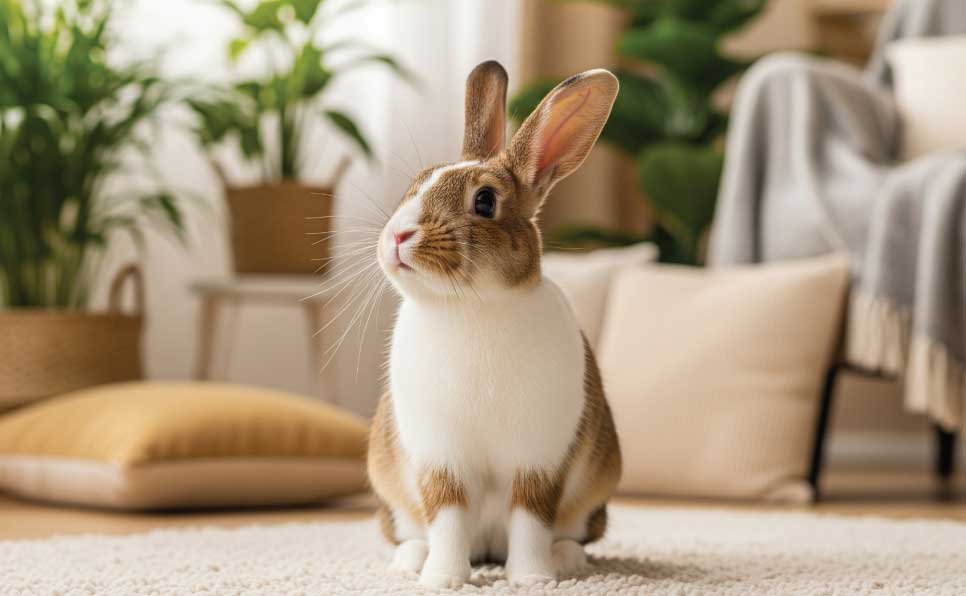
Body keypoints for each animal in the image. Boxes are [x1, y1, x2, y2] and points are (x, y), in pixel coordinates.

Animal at [367, 60, 622, 590]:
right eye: (415, 184)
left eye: (484, 202)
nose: (397, 236)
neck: (473, 303)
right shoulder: (440, 460)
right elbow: (447, 519)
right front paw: (443, 580)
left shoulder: (538, 461)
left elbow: (530, 520)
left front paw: (532, 580)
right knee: (409, 532)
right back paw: (411, 561)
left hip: (591, 505)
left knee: (567, 533)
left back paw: (566, 560)